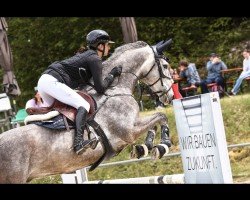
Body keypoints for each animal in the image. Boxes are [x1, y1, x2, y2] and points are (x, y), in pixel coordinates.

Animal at [0, 40, 174, 183]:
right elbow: (161, 116)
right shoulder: (129, 131)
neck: (116, 88)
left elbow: (156, 121)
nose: (171, 95)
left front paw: (144, 148)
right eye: (165, 66)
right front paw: (162, 146)